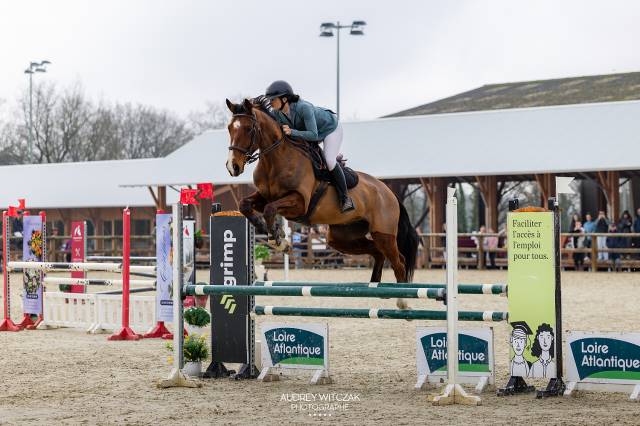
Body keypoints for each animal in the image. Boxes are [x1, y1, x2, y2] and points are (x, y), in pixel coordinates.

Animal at [224, 98, 419, 309]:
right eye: (229, 128)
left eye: (249, 128)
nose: (233, 167)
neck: (275, 160)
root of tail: (389, 192)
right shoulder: (263, 196)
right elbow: (245, 205)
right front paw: (269, 231)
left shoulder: (299, 202)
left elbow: (270, 209)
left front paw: (279, 241)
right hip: (341, 237)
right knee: (377, 252)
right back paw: (376, 286)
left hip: (383, 233)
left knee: (399, 261)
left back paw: (403, 301)